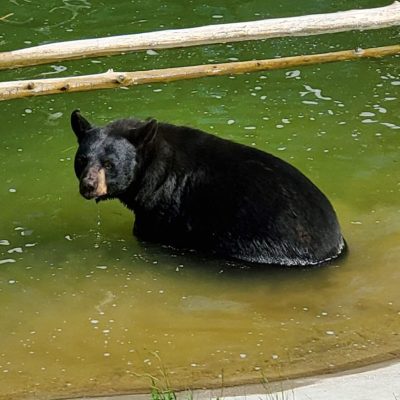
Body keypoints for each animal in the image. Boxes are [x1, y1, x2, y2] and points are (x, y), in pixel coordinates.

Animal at [70, 110, 346, 266]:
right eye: (82, 160)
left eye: (109, 164)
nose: (88, 185)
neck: (153, 166)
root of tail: (334, 241)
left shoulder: (161, 209)